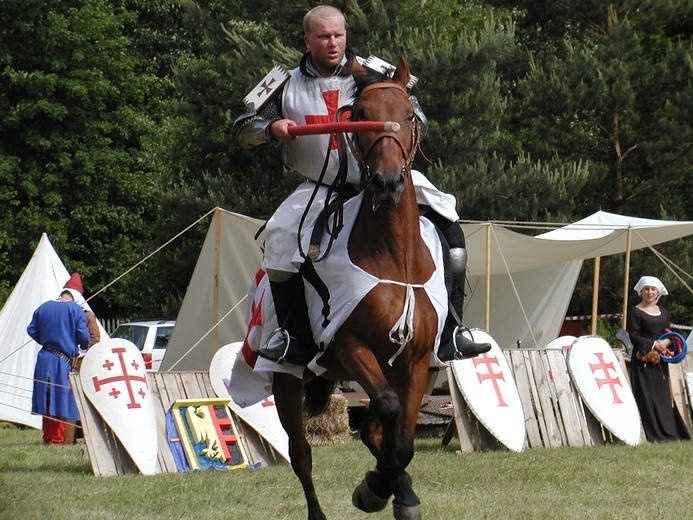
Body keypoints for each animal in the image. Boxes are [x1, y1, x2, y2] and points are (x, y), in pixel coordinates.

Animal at [272, 55, 438, 520]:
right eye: (360, 114)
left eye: (408, 115)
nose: (387, 183)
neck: (392, 257)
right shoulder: (348, 345)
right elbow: (387, 409)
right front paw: (374, 489)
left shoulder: (415, 361)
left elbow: (402, 440)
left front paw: (394, 491)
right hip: (287, 380)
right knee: (301, 453)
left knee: (376, 433)